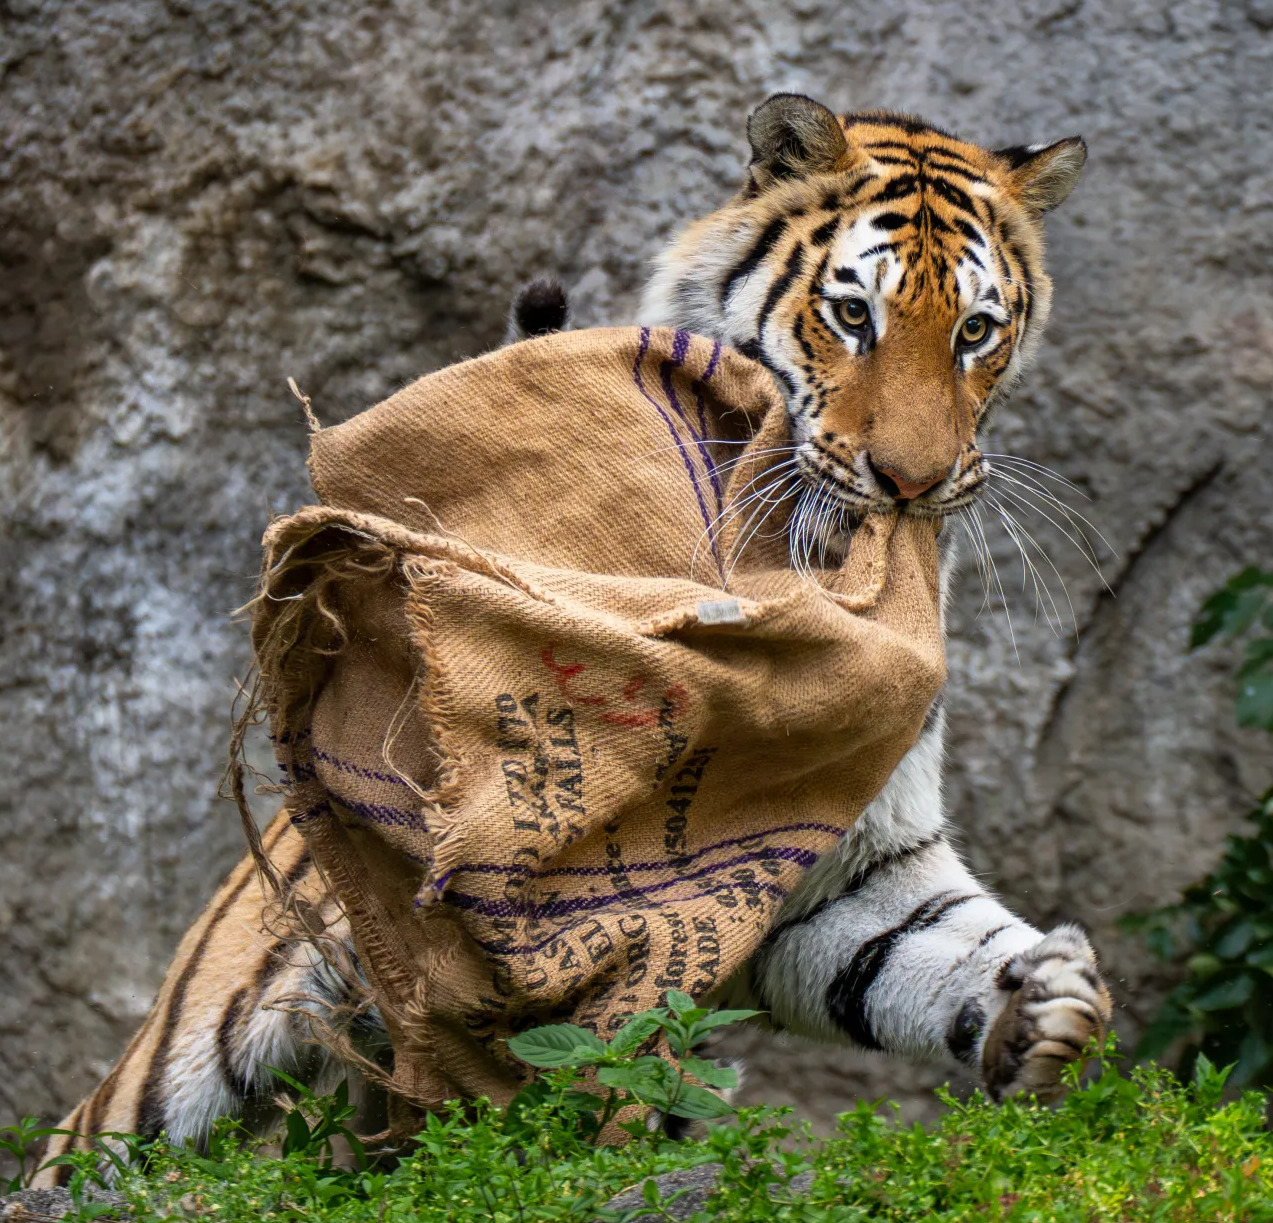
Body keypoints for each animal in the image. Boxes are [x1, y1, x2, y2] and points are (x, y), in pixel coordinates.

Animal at [37, 93, 1112, 1182]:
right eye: (853, 315)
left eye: (975, 331)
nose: (911, 480)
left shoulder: (840, 862)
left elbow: (927, 943)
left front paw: (1044, 1006)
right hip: (183, 1058)